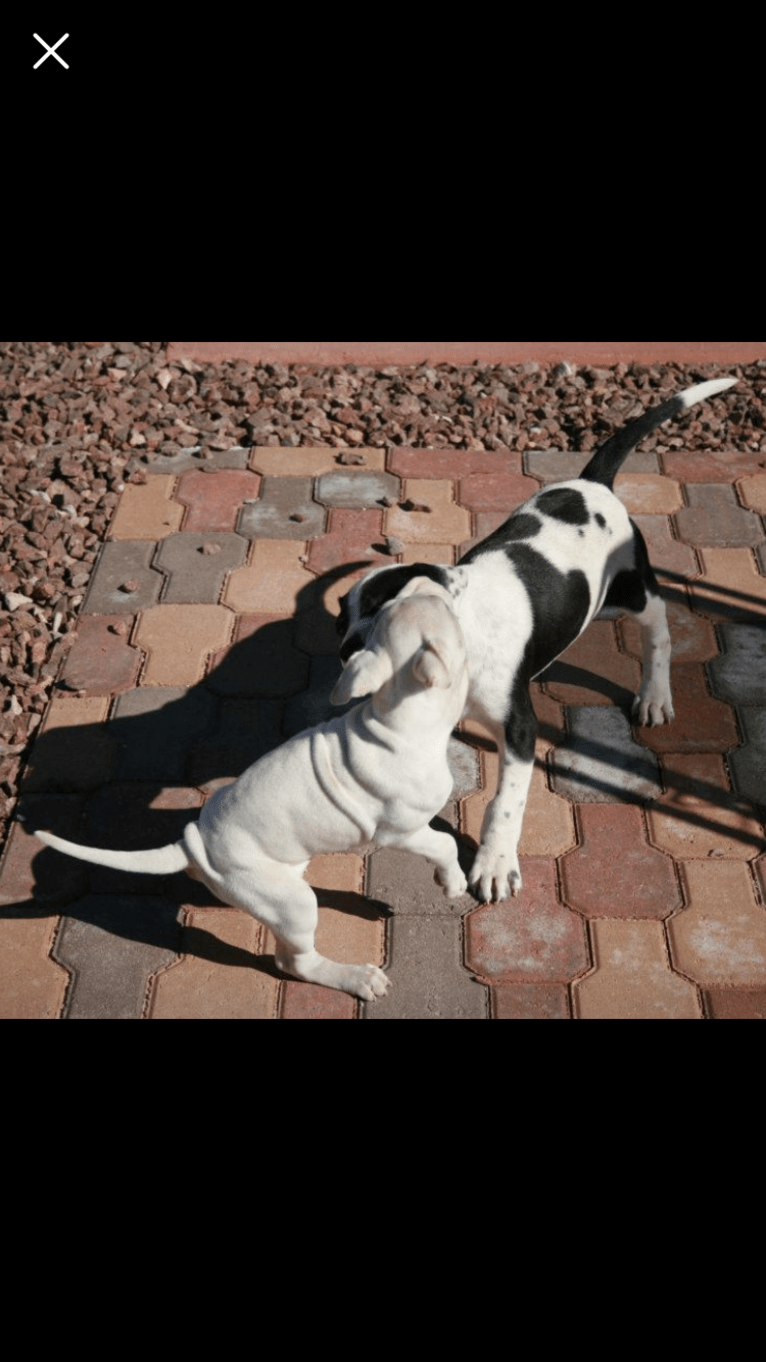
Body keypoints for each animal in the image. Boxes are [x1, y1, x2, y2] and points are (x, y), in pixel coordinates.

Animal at [34, 580, 466, 1007]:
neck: (399, 721)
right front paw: (454, 882)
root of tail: (193, 844)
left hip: (282, 880)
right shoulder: (401, 831)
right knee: (294, 961)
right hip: (290, 904)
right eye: (444, 612)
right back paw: (356, 977)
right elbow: (445, 843)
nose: (431, 579)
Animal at [335, 375, 736, 904]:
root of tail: (593, 483)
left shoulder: (522, 728)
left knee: (660, 630)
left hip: (634, 590)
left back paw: (655, 695)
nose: (344, 656)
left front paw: (494, 864)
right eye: (341, 625)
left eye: (382, 617)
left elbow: (505, 803)